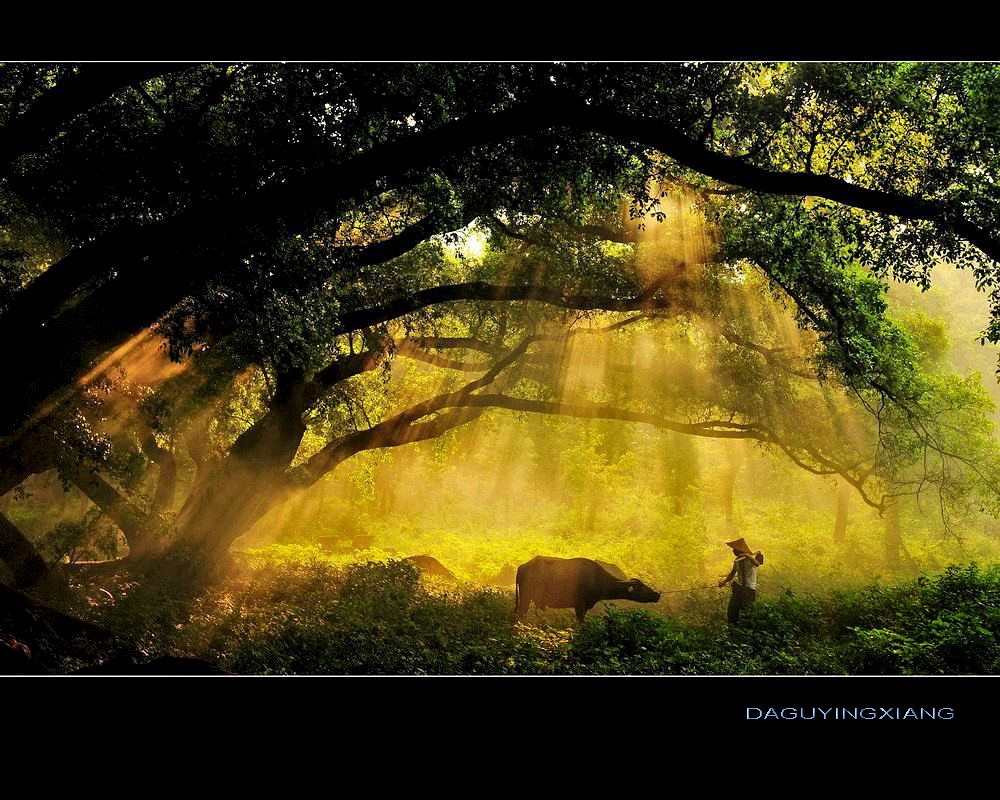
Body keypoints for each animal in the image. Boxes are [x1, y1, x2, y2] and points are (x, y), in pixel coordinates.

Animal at [516, 560, 664, 620]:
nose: (657, 595)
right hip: (525, 597)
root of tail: (522, 567)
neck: (598, 579)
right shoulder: (579, 605)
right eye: (642, 587)